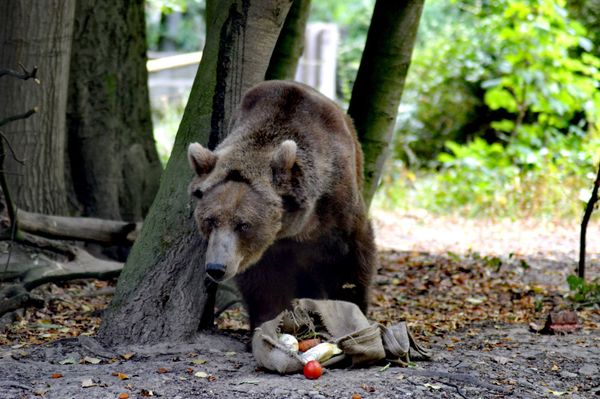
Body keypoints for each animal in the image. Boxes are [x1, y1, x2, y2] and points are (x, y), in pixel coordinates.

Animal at [189, 79, 376, 330]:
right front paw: (270, 321)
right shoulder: (265, 250)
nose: (216, 268)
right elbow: (264, 284)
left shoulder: (337, 208)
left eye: (243, 224)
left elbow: (350, 261)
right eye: (210, 221)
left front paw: (352, 310)